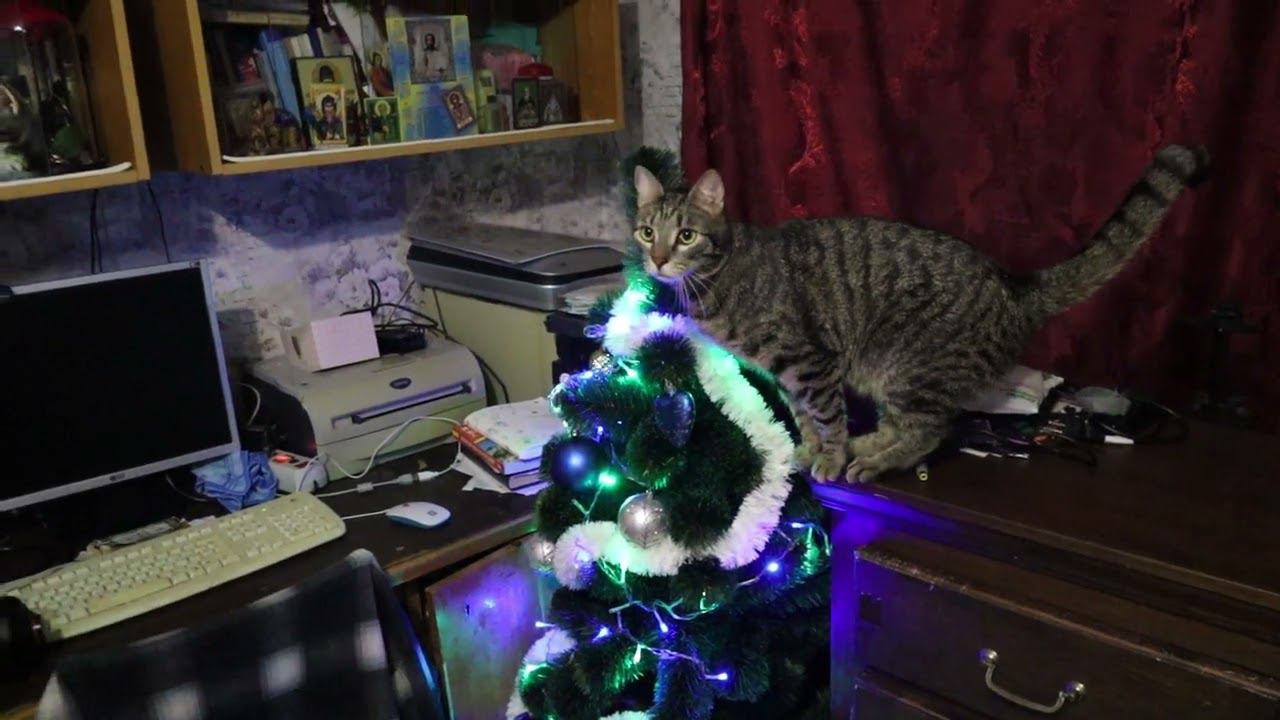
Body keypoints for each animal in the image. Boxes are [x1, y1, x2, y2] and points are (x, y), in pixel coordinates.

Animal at [631, 144, 1209, 482]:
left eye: (687, 235)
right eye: (646, 231)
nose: (656, 259)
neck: (719, 278)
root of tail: (1014, 285)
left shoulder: (812, 361)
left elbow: (827, 416)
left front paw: (829, 457)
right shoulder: (788, 375)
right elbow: (805, 418)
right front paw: (810, 450)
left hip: (911, 364)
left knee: (934, 429)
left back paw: (872, 460)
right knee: (908, 423)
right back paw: (870, 443)